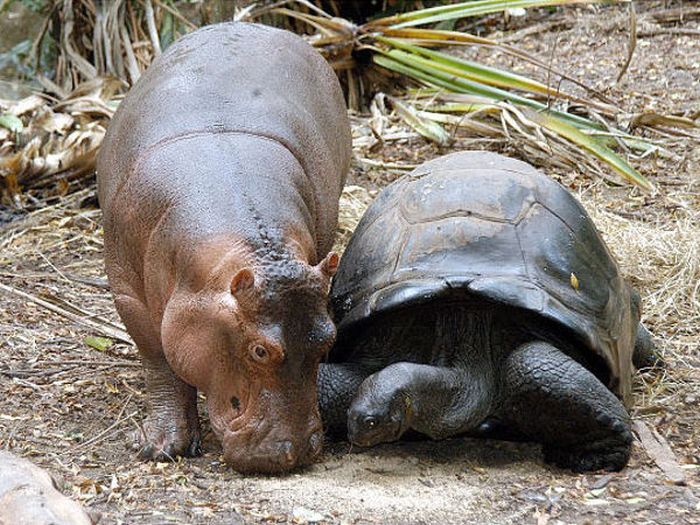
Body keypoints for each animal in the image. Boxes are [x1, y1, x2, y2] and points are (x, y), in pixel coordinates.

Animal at [94, 20, 350, 472]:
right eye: (260, 350)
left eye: (328, 339)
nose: (297, 451)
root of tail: (249, 23)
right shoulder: (128, 296)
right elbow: (158, 360)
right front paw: (159, 447)